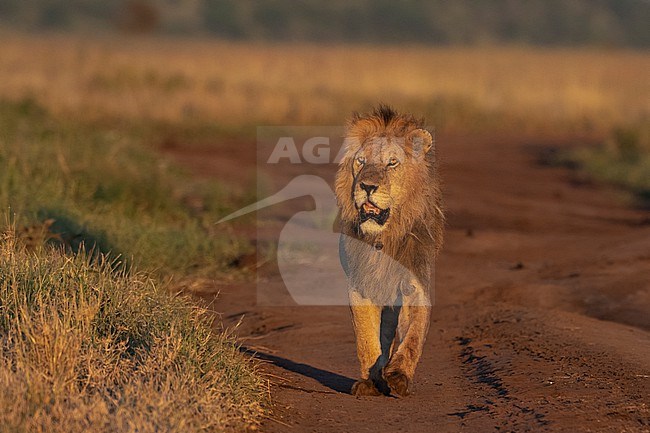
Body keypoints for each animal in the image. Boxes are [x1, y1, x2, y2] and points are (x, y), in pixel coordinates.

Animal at [334, 104, 440, 394]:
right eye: (361, 161)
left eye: (392, 163)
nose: (367, 186)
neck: (384, 238)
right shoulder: (360, 284)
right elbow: (366, 336)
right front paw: (370, 381)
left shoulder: (416, 283)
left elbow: (413, 333)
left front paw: (399, 375)